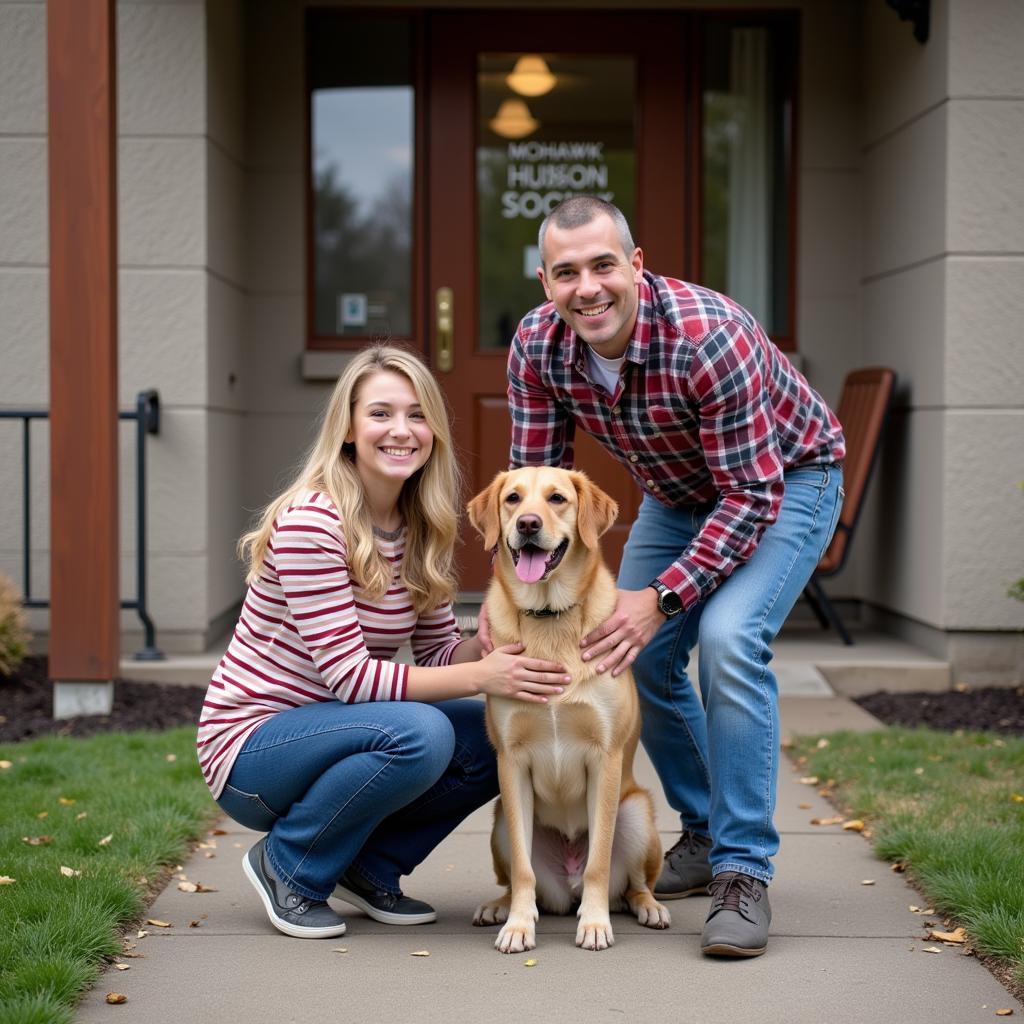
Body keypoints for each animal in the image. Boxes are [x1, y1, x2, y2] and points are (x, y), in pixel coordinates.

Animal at [466, 468, 671, 954]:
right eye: (513, 498)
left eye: (557, 498)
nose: (527, 524)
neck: (549, 617)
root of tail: (568, 886)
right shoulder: (512, 762)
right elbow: (523, 870)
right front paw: (518, 925)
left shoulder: (605, 759)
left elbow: (599, 861)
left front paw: (594, 923)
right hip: (500, 821)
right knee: (518, 879)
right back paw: (499, 907)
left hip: (636, 814)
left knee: (632, 884)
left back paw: (647, 906)